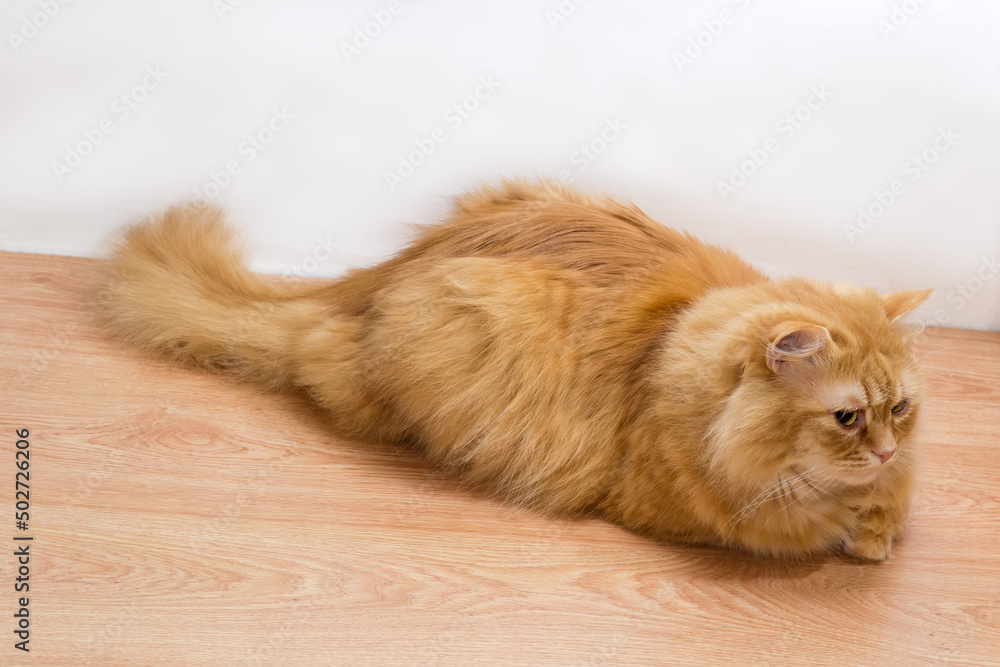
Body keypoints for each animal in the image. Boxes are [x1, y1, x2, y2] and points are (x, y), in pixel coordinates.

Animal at [97, 180, 924, 560]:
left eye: (900, 409)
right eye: (847, 416)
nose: (886, 449)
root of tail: (368, 282)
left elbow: (892, 507)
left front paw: (878, 517)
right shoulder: (679, 505)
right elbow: (804, 522)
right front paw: (855, 526)